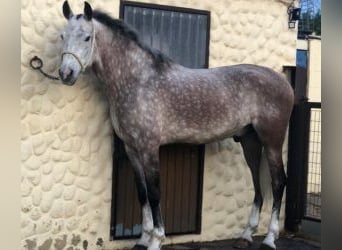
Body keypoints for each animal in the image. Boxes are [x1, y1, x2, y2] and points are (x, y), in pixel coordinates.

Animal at [58, 0, 294, 249]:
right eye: (63, 36)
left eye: (87, 37)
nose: (66, 73)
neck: (137, 80)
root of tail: (284, 83)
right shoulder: (132, 149)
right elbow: (142, 193)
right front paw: (143, 239)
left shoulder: (149, 148)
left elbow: (154, 193)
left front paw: (156, 240)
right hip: (250, 141)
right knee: (257, 183)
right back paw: (246, 235)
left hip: (272, 140)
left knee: (278, 182)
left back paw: (269, 238)